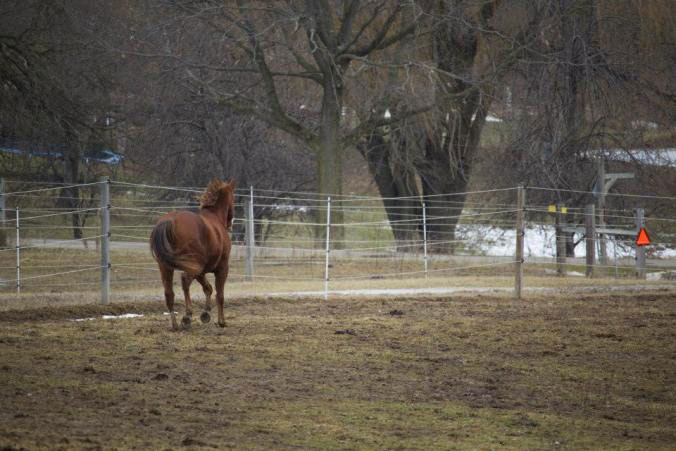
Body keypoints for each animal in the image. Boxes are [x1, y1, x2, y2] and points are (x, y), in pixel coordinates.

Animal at [150, 178, 235, 330]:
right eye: (234, 198)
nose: (231, 222)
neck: (215, 218)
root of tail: (170, 220)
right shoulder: (222, 268)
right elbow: (219, 294)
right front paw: (221, 321)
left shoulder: (200, 271)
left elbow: (208, 288)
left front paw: (205, 314)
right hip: (190, 266)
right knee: (185, 281)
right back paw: (187, 315)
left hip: (166, 268)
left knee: (169, 293)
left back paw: (175, 324)